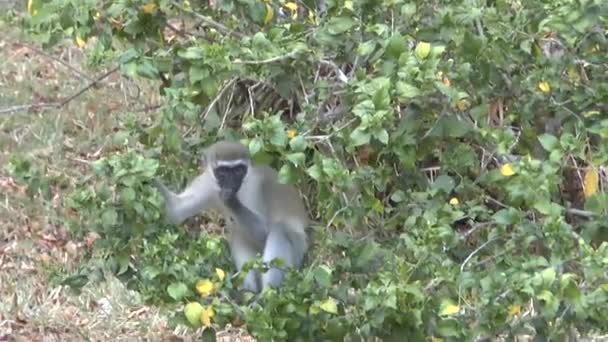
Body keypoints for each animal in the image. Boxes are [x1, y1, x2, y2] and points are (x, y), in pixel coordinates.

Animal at [154, 140, 312, 292]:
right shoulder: (207, 184)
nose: (231, 184)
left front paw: (230, 200)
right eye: (223, 171)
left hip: (298, 252)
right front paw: (153, 183)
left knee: (279, 230)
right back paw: (249, 290)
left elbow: (263, 231)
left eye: (237, 171)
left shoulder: (254, 188)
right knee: (238, 235)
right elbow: (176, 211)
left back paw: (267, 293)